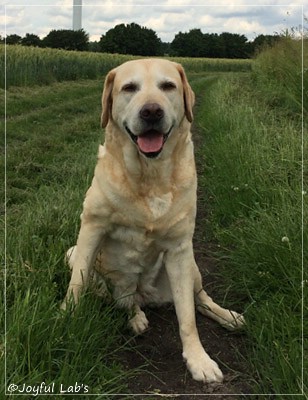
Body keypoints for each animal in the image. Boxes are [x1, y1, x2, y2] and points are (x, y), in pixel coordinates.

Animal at [62, 58, 245, 382]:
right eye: (129, 88)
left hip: (191, 267)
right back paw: (135, 317)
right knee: (124, 299)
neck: (150, 176)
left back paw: (229, 317)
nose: (151, 112)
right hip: (77, 257)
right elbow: (76, 284)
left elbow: (187, 317)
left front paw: (198, 359)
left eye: (168, 86)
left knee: (200, 300)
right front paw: (66, 319)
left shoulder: (180, 248)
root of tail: (145, 295)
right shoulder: (91, 228)